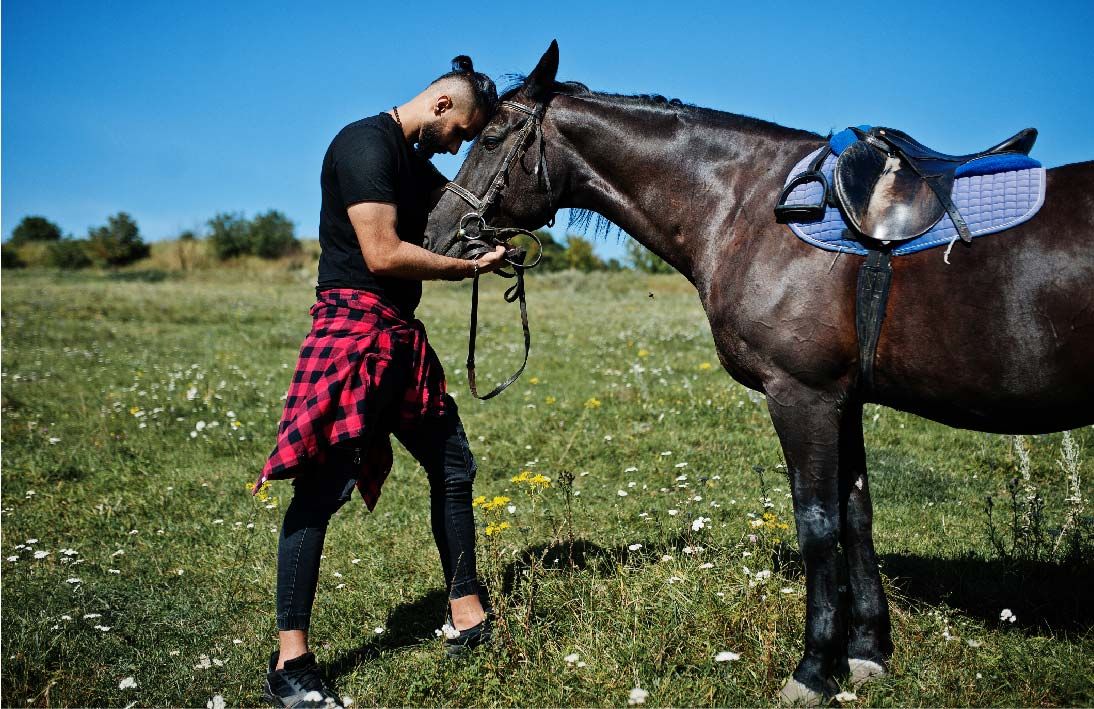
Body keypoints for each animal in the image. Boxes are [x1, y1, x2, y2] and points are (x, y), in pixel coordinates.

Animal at [422, 41, 1094, 703]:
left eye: (489, 139)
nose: (433, 231)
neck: (748, 210)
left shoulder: (803, 397)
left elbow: (818, 525)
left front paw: (815, 670)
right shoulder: (844, 400)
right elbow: (857, 516)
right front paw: (867, 653)